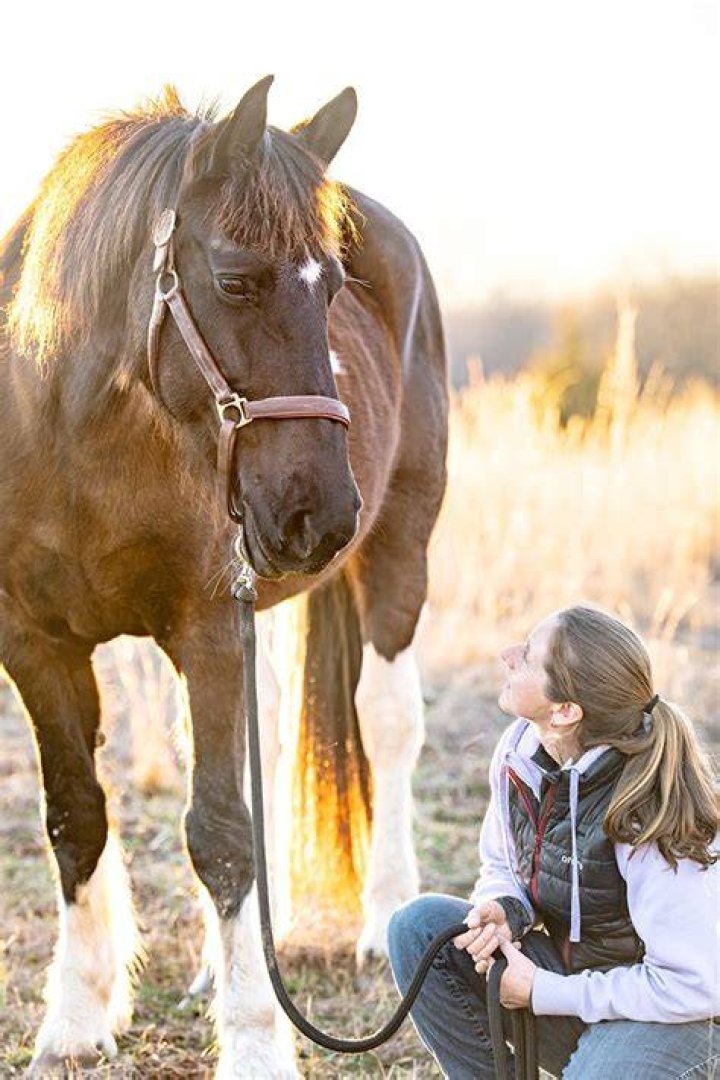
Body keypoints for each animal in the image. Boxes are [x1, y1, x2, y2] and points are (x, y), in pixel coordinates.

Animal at [0, 77, 448, 1075]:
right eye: (238, 280)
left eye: (335, 288)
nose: (325, 513)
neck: (76, 438)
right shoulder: (36, 645)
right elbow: (75, 814)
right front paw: (77, 1018)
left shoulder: (206, 630)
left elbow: (221, 833)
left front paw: (253, 1042)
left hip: (400, 549)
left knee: (388, 722)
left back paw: (386, 921)